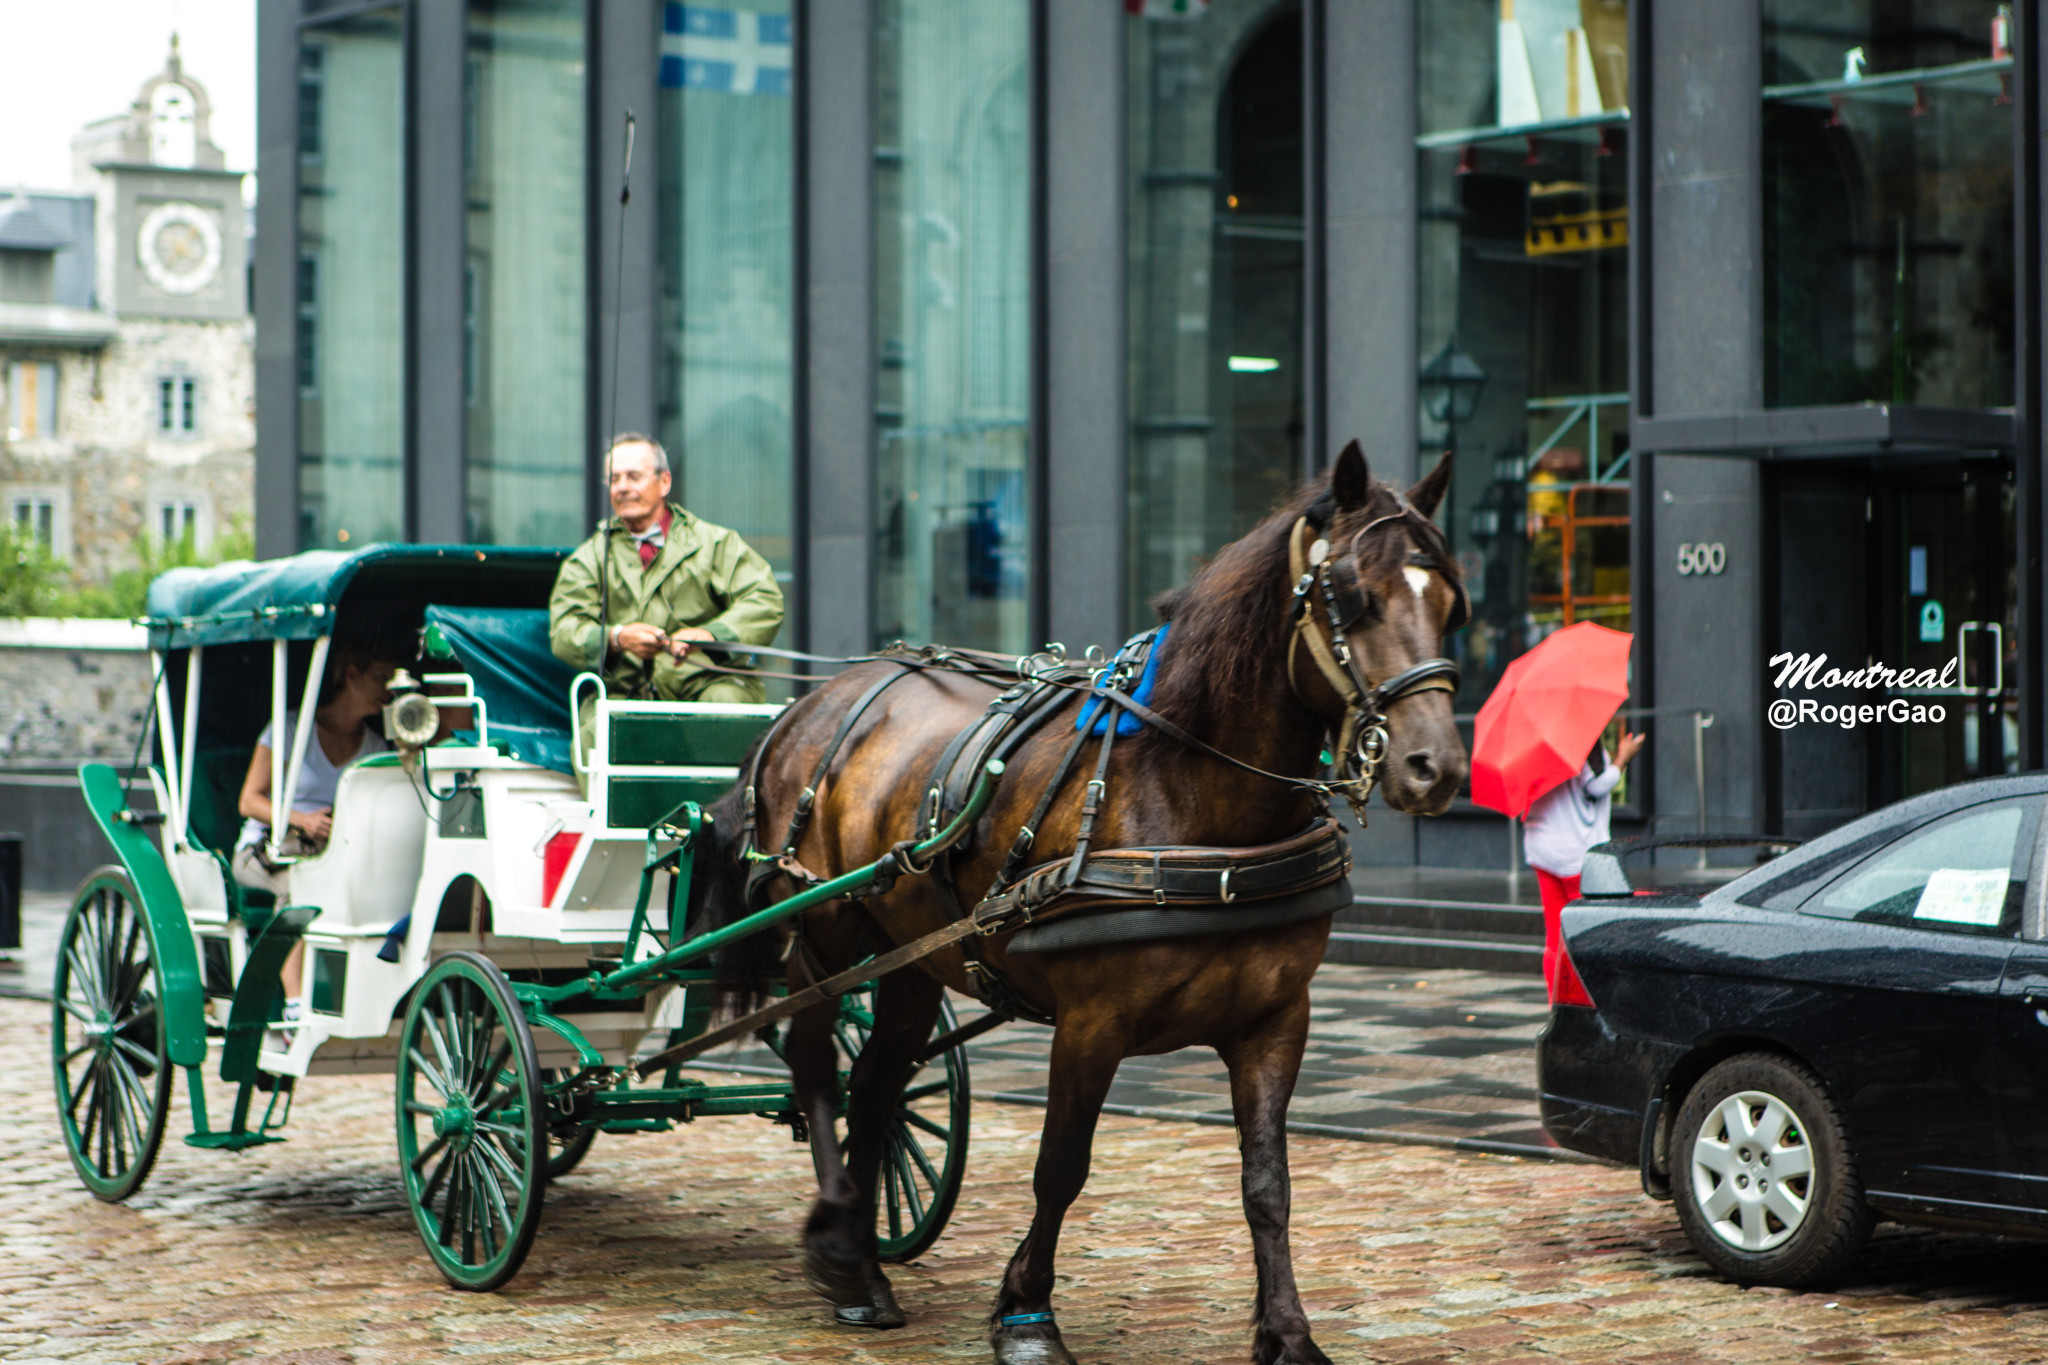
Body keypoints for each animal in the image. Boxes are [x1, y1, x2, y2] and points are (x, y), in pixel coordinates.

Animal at [696, 444, 1466, 1358]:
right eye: (1350, 593)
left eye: (1450, 598)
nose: (1436, 767)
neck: (1194, 799)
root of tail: (807, 705)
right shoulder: (1093, 1020)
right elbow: (1061, 1165)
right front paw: (1026, 1312)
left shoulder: (1276, 1018)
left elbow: (1268, 1181)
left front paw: (1287, 1332)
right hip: (822, 929)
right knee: (818, 1066)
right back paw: (843, 1254)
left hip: (912, 955)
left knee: (878, 1085)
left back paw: (861, 1253)